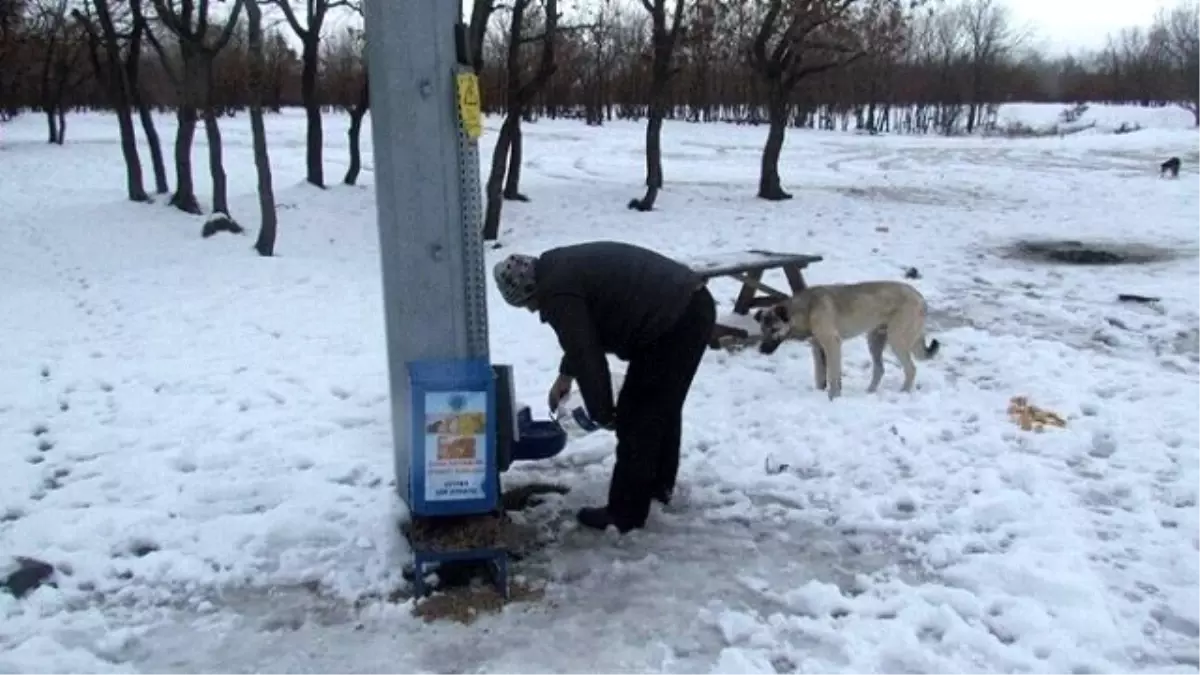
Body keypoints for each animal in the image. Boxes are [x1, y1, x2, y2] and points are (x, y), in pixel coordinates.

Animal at [753, 279, 940, 396]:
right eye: (762, 329)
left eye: (774, 329)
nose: (761, 350)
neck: (806, 309)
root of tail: (920, 297)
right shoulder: (818, 348)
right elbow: (820, 376)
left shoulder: (832, 344)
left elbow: (833, 375)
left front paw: (833, 397)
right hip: (874, 340)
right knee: (879, 369)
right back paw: (870, 392)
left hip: (896, 340)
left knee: (911, 369)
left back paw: (904, 392)